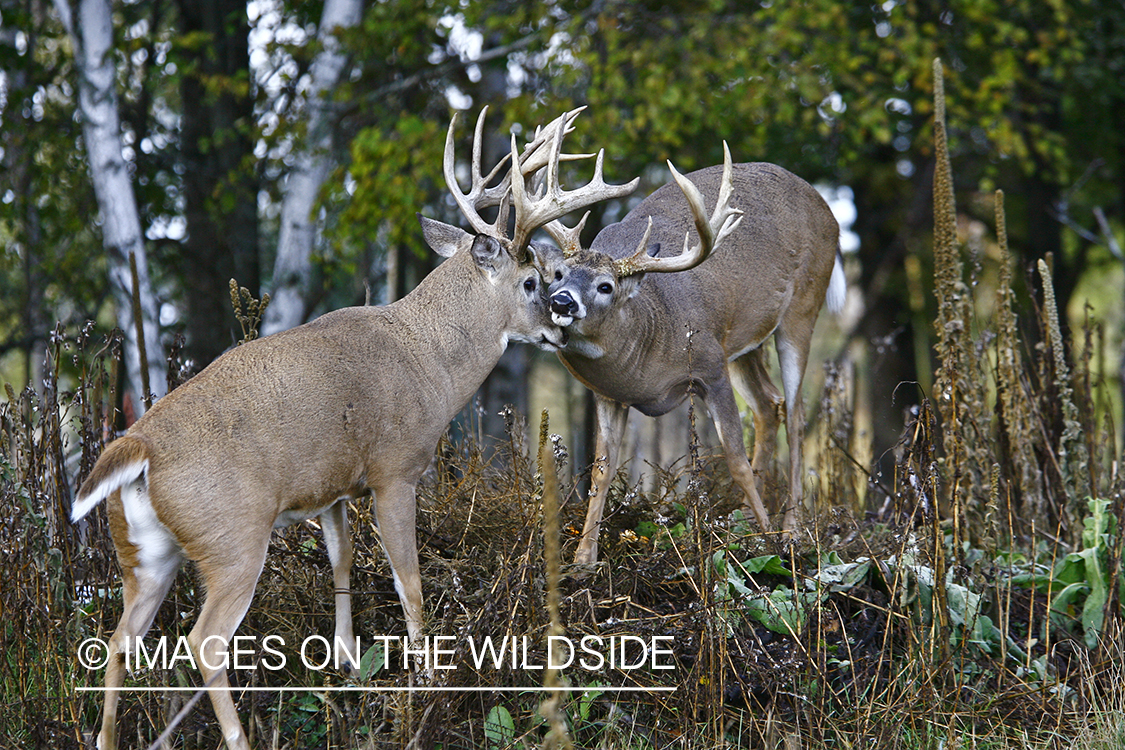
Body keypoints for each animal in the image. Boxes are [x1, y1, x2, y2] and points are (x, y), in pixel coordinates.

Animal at [74, 106, 639, 750]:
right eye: (531, 280)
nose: (559, 324)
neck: (428, 360)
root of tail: (138, 445)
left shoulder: (335, 485)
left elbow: (342, 562)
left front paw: (346, 659)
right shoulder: (396, 470)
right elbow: (408, 580)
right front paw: (425, 676)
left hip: (142, 553)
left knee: (118, 640)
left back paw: (108, 736)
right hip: (231, 539)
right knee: (204, 642)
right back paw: (239, 736)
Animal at [533, 149, 846, 562]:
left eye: (606, 286)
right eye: (558, 275)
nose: (562, 301)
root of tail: (829, 211)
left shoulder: (710, 365)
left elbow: (735, 460)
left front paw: (770, 543)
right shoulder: (608, 394)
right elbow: (601, 470)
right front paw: (583, 559)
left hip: (802, 307)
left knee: (795, 415)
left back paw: (790, 529)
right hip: (742, 341)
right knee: (769, 405)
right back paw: (743, 520)